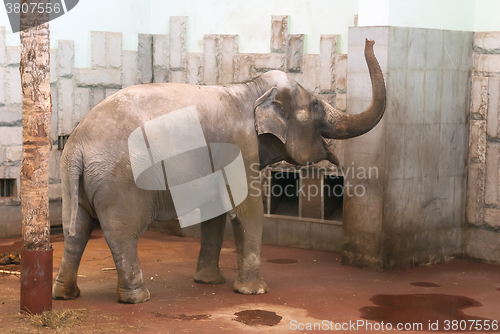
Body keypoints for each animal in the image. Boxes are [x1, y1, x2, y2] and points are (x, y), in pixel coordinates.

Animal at [52, 38, 384, 302]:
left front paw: (209, 282)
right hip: (120, 183)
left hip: (77, 181)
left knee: (76, 230)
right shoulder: (240, 145)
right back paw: (137, 297)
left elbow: (216, 210)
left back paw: (66, 294)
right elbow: (247, 209)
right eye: (315, 105)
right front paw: (256, 291)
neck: (251, 87)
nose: (369, 39)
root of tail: (77, 143)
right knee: (121, 234)